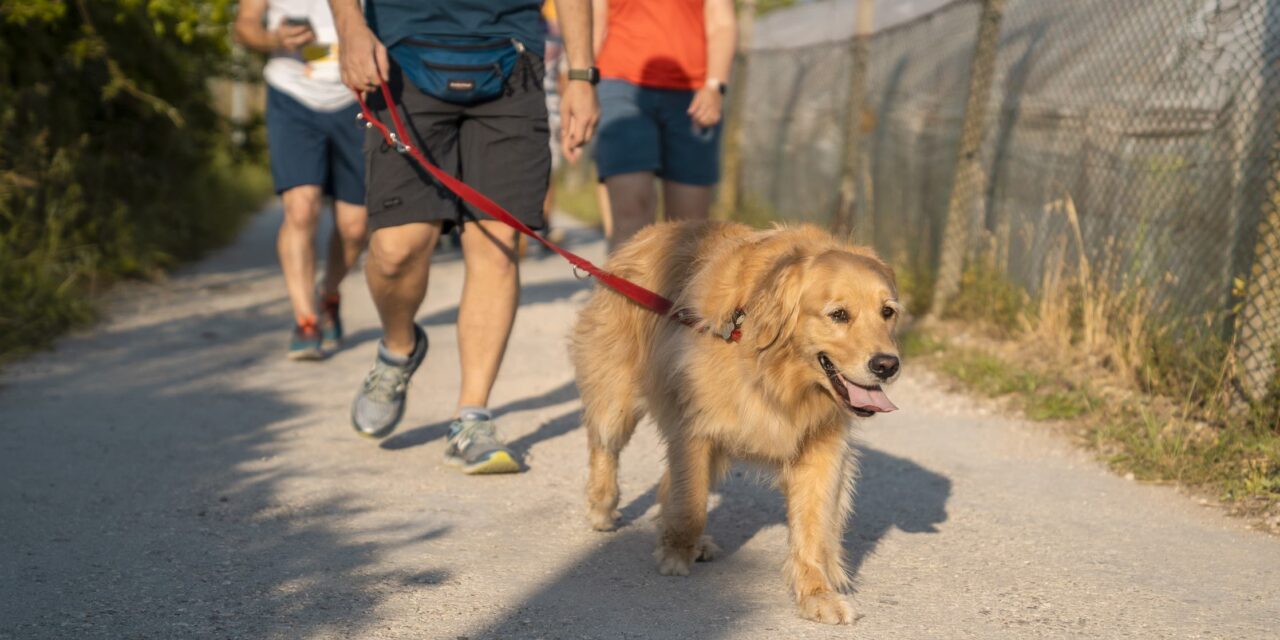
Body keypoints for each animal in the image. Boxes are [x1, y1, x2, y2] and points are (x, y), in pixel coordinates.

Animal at [570, 220, 901, 624]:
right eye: (838, 314)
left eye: (887, 312)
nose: (887, 365)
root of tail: (645, 234)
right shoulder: (695, 429)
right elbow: (691, 505)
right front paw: (675, 554)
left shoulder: (820, 447)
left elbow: (813, 526)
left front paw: (817, 593)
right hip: (617, 396)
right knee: (604, 446)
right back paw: (603, 507)